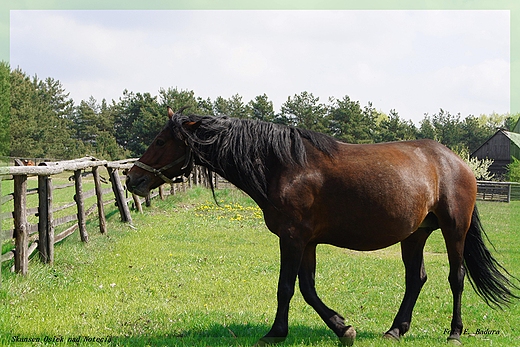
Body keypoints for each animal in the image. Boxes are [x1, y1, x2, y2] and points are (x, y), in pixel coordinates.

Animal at [125, 107, 516, 346]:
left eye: (161, 141)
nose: (133, 180)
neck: (283, 165)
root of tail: (455, 161)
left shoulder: (292, 239)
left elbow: (286, 287)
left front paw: (276, 332)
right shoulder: (307, 242)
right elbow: (307, 288)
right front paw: (343, 327)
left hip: (454, 229)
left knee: (456, 278)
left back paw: (454, 332)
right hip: (415, 235)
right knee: (415, 278)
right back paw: (395, 329)